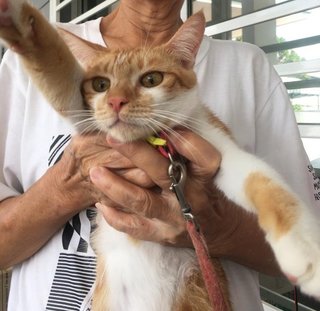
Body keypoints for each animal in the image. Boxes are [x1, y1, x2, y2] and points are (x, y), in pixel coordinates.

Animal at [1, 0, 320, 311]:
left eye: (151, 79)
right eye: (101, 85)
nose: (116, 102)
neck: (153, 141)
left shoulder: (215, 143)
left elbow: (260, 179)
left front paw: (300, 247)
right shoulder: (85, 117)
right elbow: (58, 74)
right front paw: (23, 23)